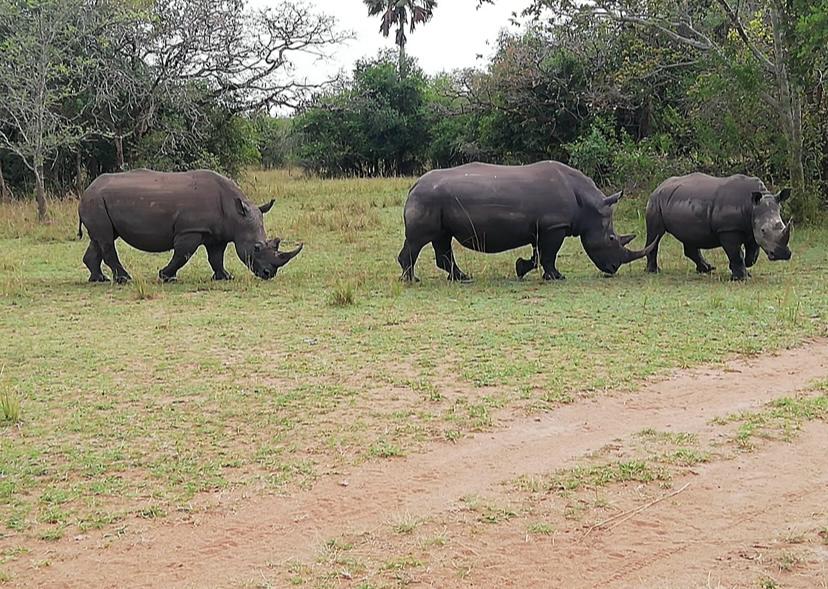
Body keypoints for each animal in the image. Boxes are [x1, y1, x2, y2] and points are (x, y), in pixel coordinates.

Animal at [77, 169, 302, 283]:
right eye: (256, 248)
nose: (269, 274)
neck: (235, 214)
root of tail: (87, 190)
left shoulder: (217, 233)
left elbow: (216, 257)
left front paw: (225, 277)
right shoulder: (191, 229)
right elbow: (183, 254)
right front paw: (166, 277)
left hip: (97, 202)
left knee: (100, 238)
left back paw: (99, 279)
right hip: (96, 201)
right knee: (106, 240)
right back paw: (125, 279)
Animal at [398, 161, 654, 281]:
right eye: (611, 239)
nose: (613, 269)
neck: (589, 205)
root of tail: (414, 185)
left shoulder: (544, 227)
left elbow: (539, 254)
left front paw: (521, 268)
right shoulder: (554, 226)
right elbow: (548, 255)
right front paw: (557, 277)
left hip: (436, 201)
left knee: (442, 238)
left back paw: (462, 278)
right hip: (428, 199)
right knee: (420, 239)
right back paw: (413, 280)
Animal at [645, 173, 792, 280]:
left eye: (782, 225)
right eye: (763, 230)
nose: (782, 255)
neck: (751, 206)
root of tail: (659, 186)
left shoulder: (750, 228)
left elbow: (752, 253)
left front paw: (744, 267)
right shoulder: (728, 229)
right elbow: (736, 253)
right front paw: (741, 278)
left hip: (682, 202)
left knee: (690, 236)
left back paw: (707, 269)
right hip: (655, 201)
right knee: (655, 235)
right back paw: (654, 271)